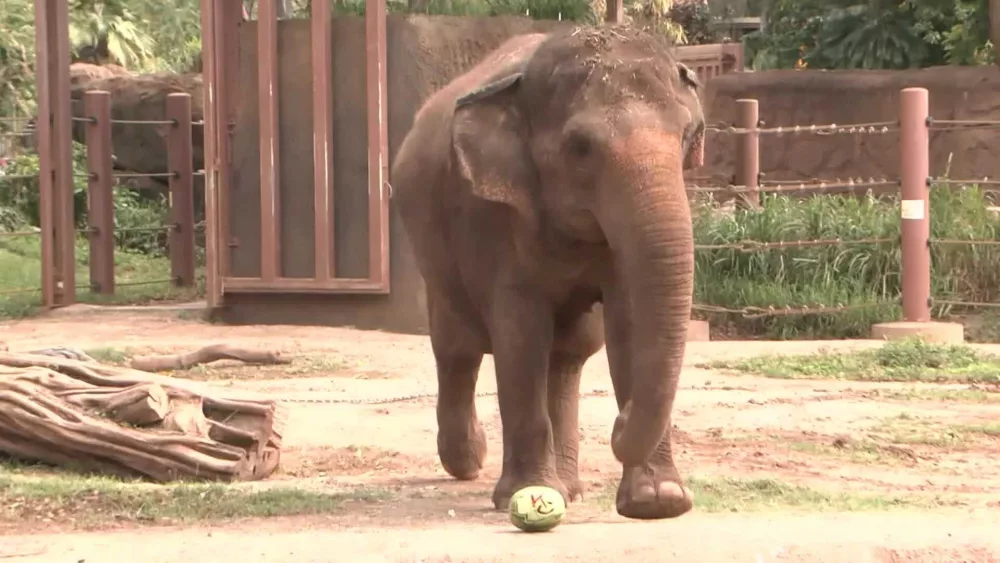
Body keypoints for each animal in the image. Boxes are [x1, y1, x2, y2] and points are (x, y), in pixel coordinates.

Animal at [391, 25, 705, 520]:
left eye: (688, 135)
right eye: (580, 148)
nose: (619, 424)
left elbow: (629, 321)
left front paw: (659, 502)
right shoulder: (489, 217)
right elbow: (521, 333)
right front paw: (523, 493)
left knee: (569, 354)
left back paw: (568, 488)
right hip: (433, 255)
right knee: (457, 348)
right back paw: (471, 461)